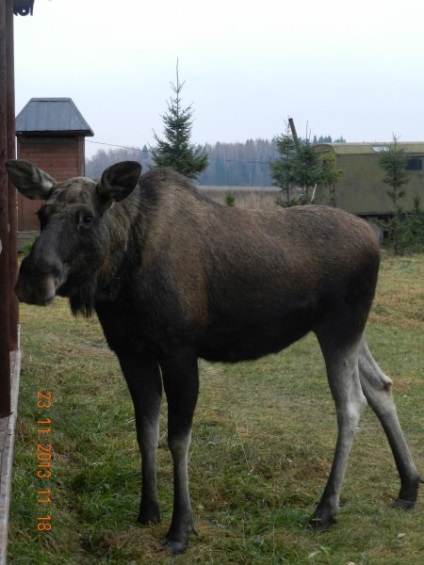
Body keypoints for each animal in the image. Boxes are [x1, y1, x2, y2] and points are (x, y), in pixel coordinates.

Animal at [6, 158, 420, 552]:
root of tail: (375, 239)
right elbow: (145, 432)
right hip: (344, 329)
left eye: (86, 217)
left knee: (351, 403)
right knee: (381, 386)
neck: (119, 273)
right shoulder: (130, 351)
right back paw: (409, 486)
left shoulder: (179, 351)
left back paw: (326, 508)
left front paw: (180, 529)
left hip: (340, 324)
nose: (32, 280)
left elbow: (178, 440)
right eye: (42, 214)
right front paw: (148, 510)